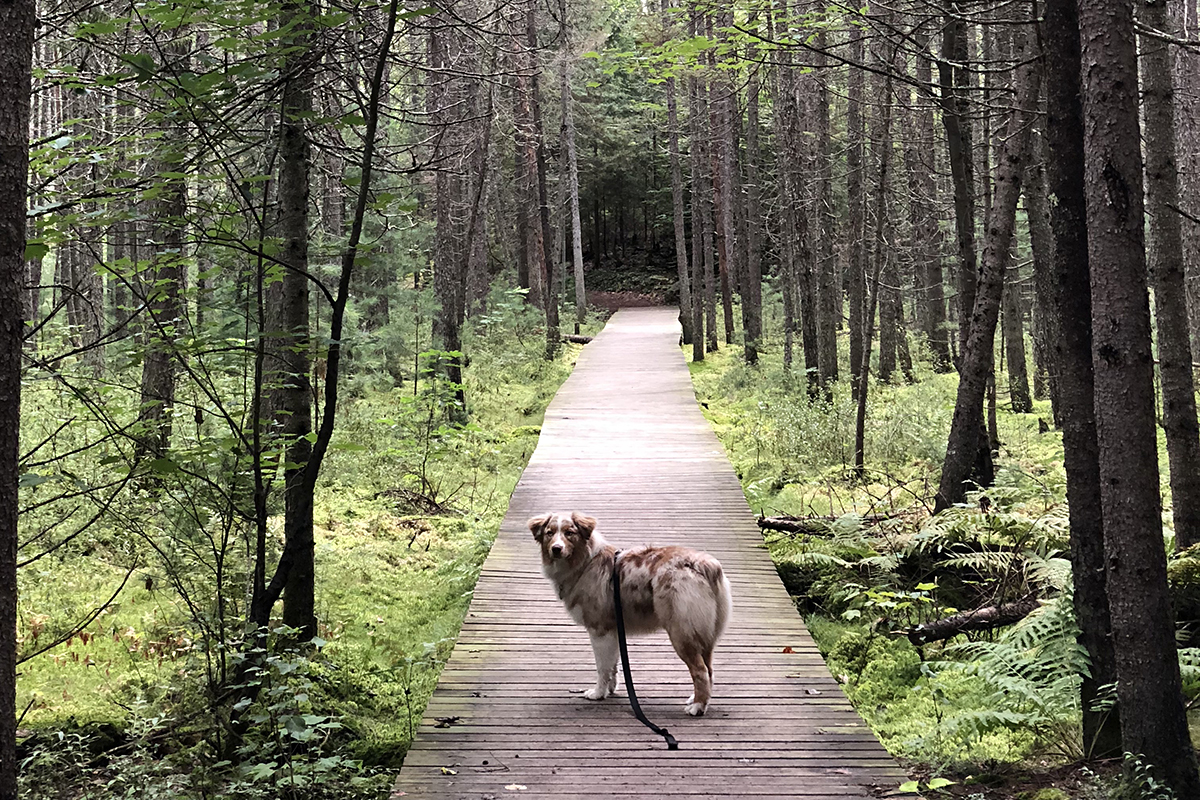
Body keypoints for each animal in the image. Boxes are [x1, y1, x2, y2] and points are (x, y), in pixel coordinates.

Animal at [528, 513, 729, 719]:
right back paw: (696, 699)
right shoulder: (613, 631)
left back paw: (697, 706)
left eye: (569, 533)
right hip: (704, 635)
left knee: (700, 671)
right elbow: (613, 664)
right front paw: (610, 690)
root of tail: (705, 565)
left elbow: (602, 667)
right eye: (549, 533)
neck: (585, 562)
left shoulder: (599, 631)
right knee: (709, 670)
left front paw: (598, 693)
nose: (556, 548)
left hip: (682, 633)